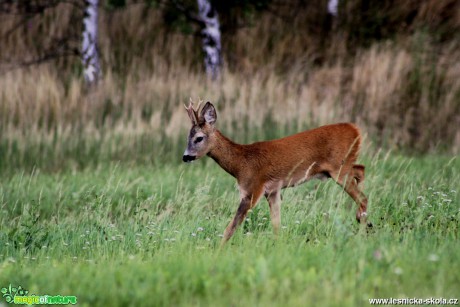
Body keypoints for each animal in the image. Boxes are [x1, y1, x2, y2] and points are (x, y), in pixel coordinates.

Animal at [181, 100, 368, 245]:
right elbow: (276, 225)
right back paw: (362, 220)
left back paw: (362, 228)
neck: (240, 163)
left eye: (199, 138)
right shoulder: (272, 191)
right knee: (361, 170)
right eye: (187, 137)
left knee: (362, 196)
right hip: (342, 168)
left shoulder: (253, 189)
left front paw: (217, 251)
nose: (185, 156)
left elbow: (231, 227)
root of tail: (356, 130)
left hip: (339, 168)